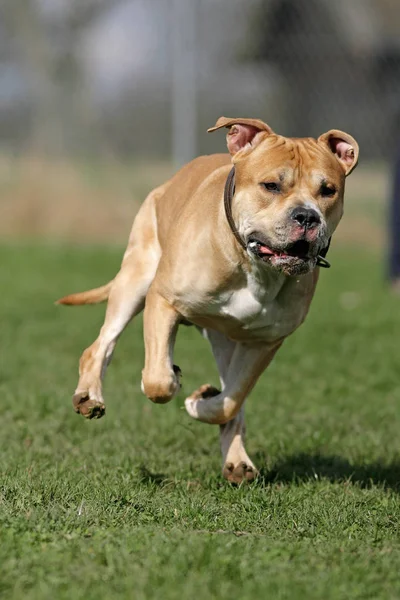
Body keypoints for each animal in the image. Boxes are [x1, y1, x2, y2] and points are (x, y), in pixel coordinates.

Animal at [58, 116, 360, 482]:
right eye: (271, 186)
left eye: (328, 190)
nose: (307, 216)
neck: (254, 267)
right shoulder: (163, 299)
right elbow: (158, 381)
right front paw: (172, 380)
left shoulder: (264, 342)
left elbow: (232, 400)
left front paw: (201, 400)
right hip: (136, 279)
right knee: (101, 345)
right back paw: (89, 396)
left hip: (225, 339)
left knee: (233, 402)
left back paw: (237, 461)